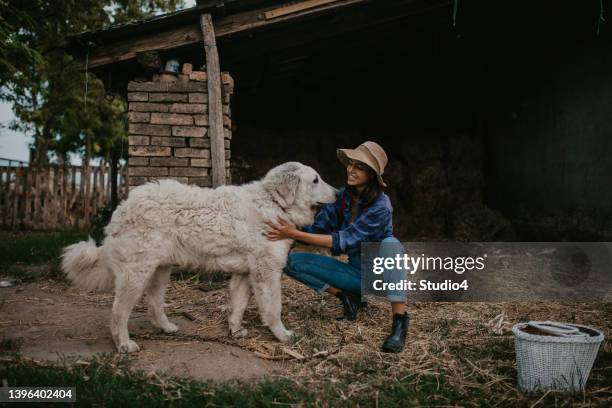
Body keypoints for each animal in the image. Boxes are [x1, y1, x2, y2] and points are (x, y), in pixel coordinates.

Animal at [61, 163, 334, 354]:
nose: (339, 191)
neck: (274, 203)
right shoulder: (266, 273)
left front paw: (235, 331)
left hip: (160, 270)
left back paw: (166, 327)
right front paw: (283, 335)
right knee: (119, 312)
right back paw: (124, 345)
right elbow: (274, 309)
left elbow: (238, 305)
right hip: (136, 275)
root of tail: (123, 208)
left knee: (153, 304)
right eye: (315, 179)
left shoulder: (244, 273)